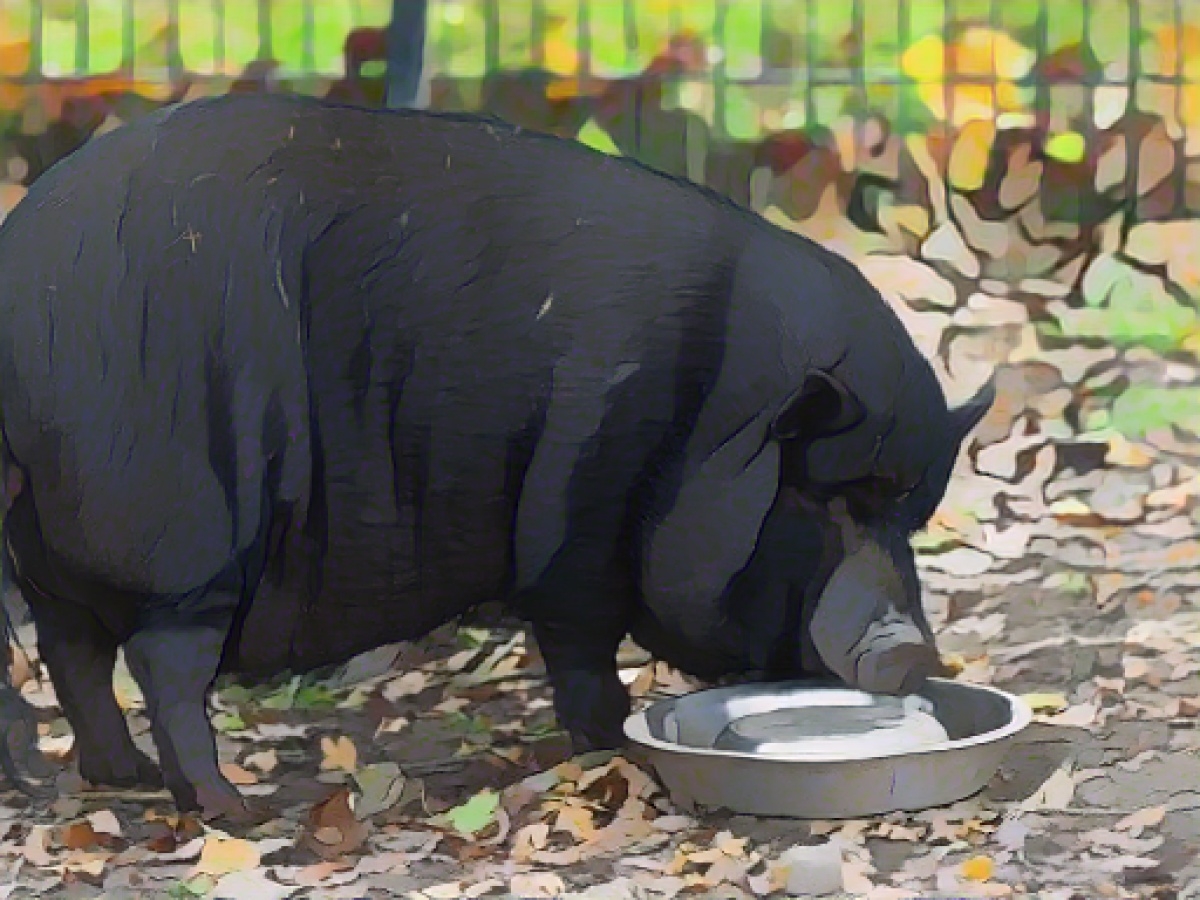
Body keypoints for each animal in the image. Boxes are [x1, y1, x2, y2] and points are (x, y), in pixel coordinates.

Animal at [0, 93, 992, 820]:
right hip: (181, 544)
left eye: (910, 511)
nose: (912, 654)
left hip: (49, 544)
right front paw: (611, 741)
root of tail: (24, 309)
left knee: (70, 649)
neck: (709, 417)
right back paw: (230, 807)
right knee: (156, 665)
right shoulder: (576, 540)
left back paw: (121, 778)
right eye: (825, 498)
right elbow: (583, 654)